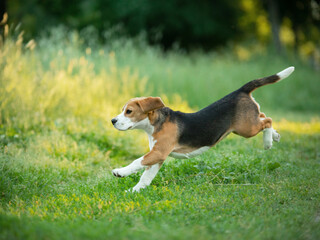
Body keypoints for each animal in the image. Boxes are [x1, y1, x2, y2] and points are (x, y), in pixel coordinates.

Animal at [110, 66, 296, 191]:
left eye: (129, 111)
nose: (113, 120)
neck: (154, 124)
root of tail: (240, 90)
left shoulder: (158, 152)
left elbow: (137, 162)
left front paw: (120, 172)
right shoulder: (158, 157)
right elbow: (145, 177)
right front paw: (135, 191)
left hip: (246, 128)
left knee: (268, 120)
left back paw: (268, 142)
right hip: (247, 124)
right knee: (263, 116)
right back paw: (275, 136)